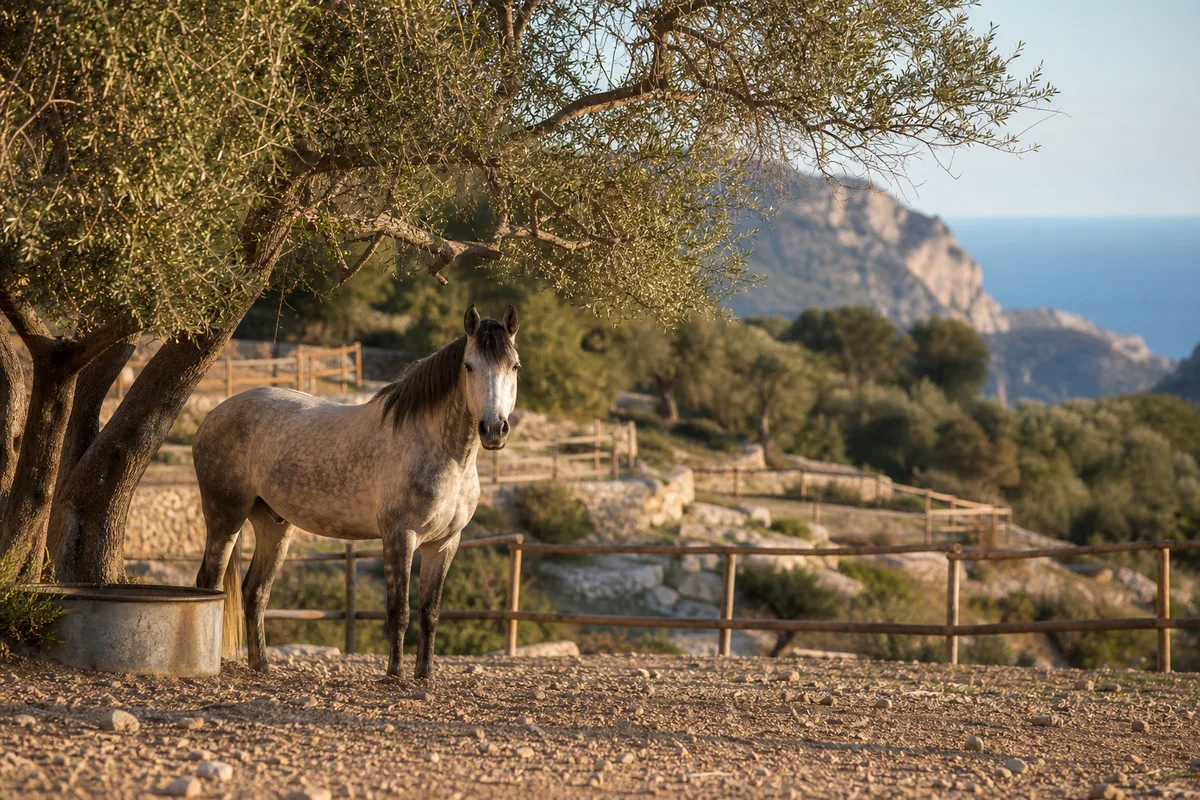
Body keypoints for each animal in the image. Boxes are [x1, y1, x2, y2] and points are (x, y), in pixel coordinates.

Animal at [194, 304, 520, 680]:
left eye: (514, 366)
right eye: (469, 366)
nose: (493, 429)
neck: (443, 452)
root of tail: (211, 415)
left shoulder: (445, 543)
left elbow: (430, 612)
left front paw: (425, 675)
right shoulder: (399, 536)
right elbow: (399, 610)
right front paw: (394, 674)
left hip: (274, 525)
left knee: (254, 592)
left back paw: (262, 667)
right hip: (226, 516)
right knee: (210, 583)